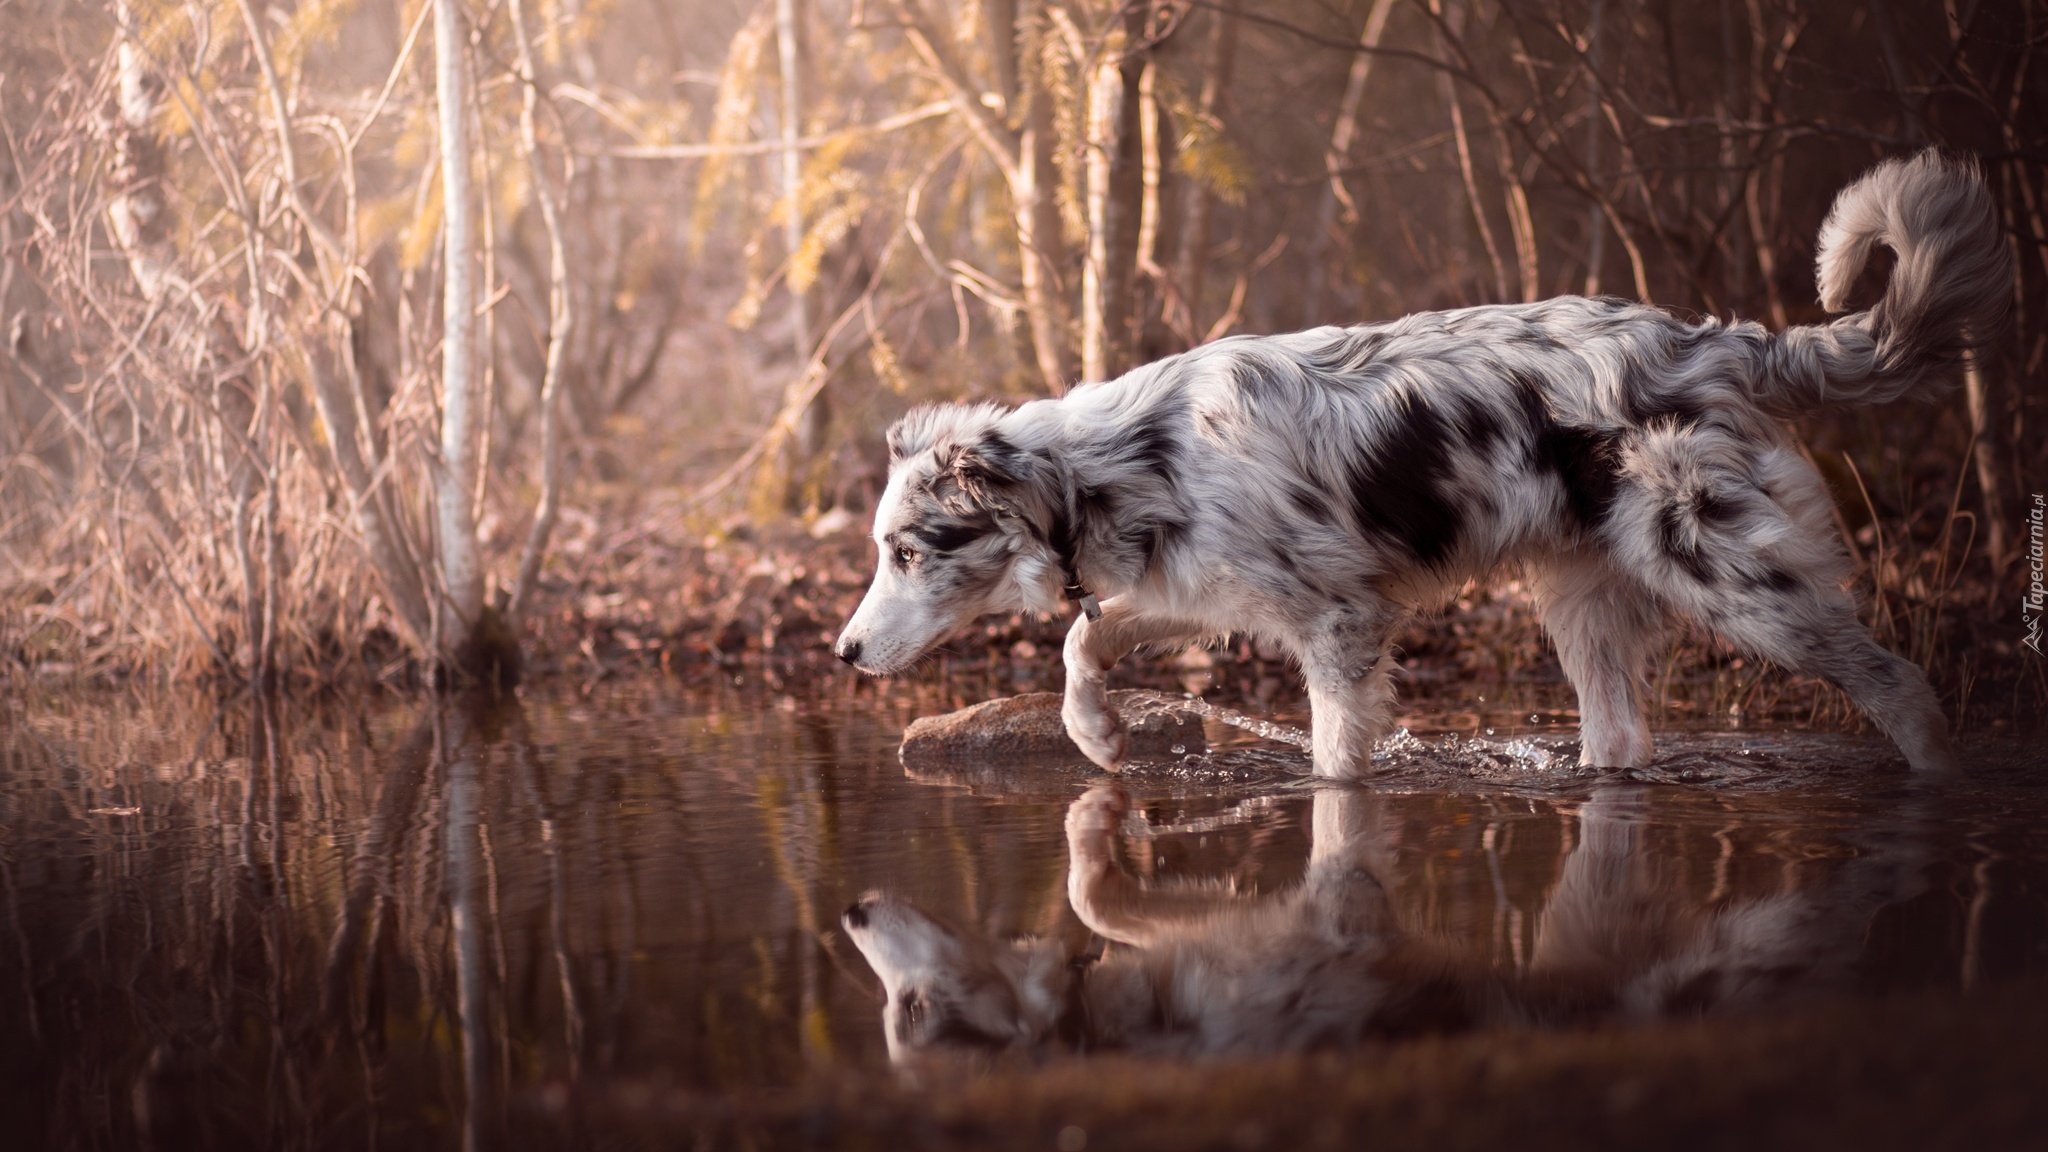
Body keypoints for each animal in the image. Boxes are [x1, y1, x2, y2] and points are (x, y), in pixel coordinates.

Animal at [839, 152, 2007, 774]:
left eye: (909, 551)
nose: (844, 652)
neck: (1122, 463)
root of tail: (1718, 340)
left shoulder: (1342, 625)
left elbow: (1332, 769)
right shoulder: (1202, 591)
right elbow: (1084, 639)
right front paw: (1097, 736)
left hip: (1736, 581)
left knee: (1902, 687)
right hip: (1581, 603)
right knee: (1620, 740)